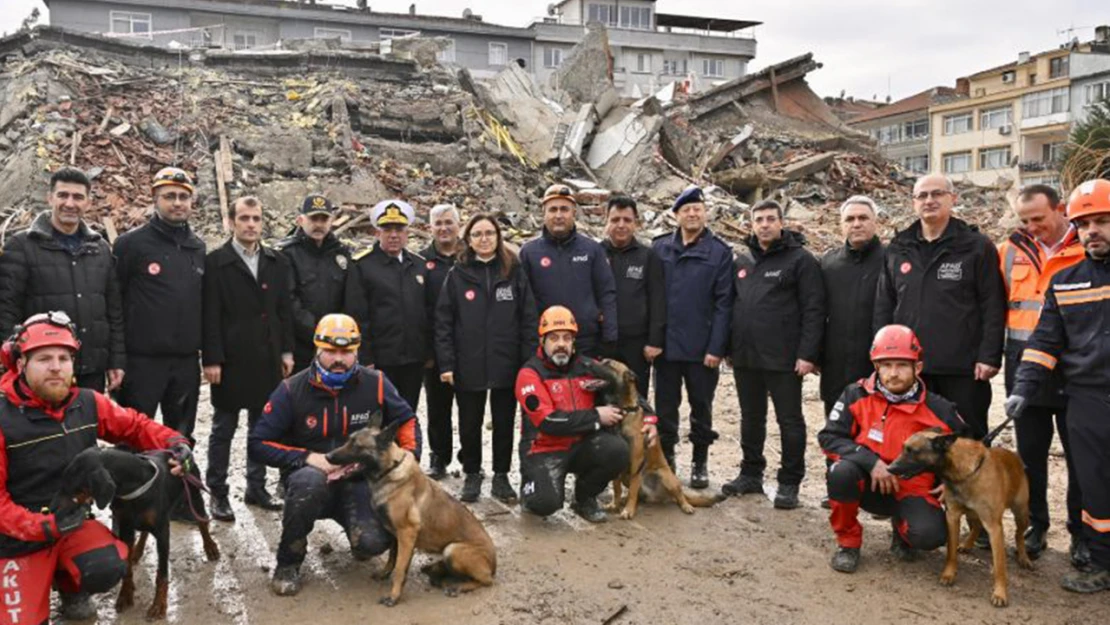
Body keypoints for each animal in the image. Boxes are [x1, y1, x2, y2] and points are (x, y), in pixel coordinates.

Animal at [51, 448, 220, 617]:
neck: (133, 488)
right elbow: (127, 569)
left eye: (71, 487)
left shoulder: (162, 532)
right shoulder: (125, 526)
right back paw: (137, 551)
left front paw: (159, 604)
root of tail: (176, 450)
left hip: (194, 493)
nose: (52, 510)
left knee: (202, 521)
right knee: (144, 532)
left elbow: (162, 574)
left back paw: (210, 547)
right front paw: (125, 595)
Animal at [326, 412, 497, 608]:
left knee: (486, 581)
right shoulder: (396, 535)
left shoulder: (406, 533)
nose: (327, 456)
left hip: (453, 549)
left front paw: (394, 596)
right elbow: (393, 558)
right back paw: (437, 571)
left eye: (357, 446)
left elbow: (400, 568)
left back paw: (457, 586)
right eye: (348, 440)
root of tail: (494, 565)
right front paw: (385, 574)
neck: (389, 471)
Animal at [581, 359, 728, 521]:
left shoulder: (636, 462)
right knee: (639, 494)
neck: (623, 411)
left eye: (608, 364)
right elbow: (616, 487)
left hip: (666, 478)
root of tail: (657, 496)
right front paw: (615, 504)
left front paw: (628, 510)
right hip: (628, 476)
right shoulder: (619, 466)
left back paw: (686, 506)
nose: (585, 362)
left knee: (679, 495)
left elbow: (632, 490)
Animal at [883, 428, 1030, 608]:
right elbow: (951, 552)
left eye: (913, 451)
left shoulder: (994, 527)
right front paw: (948, 574)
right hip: (972, 514)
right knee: (977, 526)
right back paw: (967, 544)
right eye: (903, 448)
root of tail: (1015, 457)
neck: (963, 473)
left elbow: (1000, 566)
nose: (889, 468)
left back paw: (1023, 557)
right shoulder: (952, 516)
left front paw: (1000, 593)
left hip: (1021, 513)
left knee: (1018, 534)